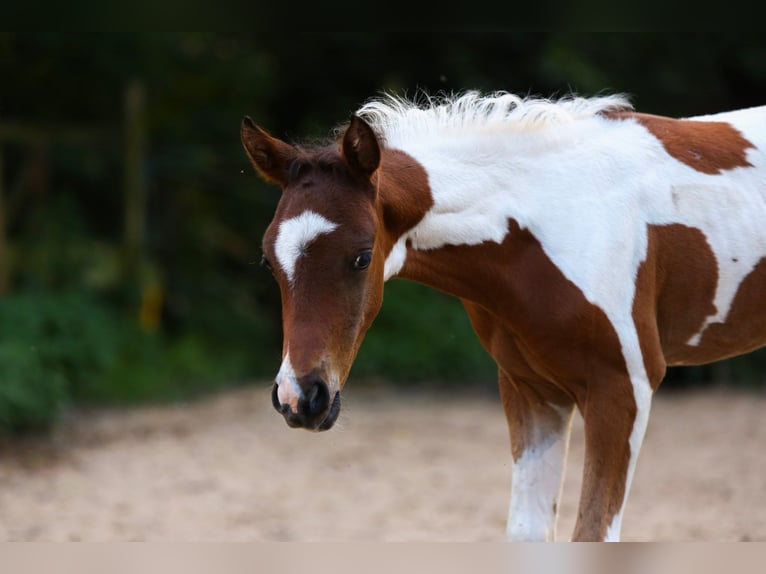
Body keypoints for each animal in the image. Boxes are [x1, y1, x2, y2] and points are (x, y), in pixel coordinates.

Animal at [243, 92, 766, 544]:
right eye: (269, 261)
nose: (300, 397)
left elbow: (593, 533)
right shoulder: (533, 392)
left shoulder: (625, 389)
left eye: (361, 256)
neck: (551, 220)